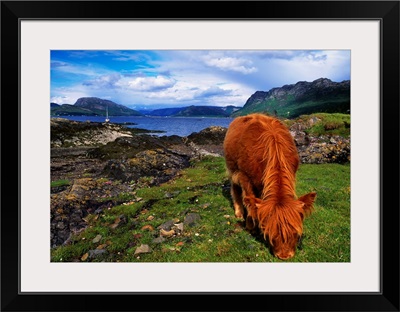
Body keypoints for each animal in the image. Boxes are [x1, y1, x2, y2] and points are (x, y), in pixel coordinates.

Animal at [223, 113, 318, 260]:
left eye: (296, 233)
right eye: (269, 233)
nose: (284, 256)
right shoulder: (244, 177)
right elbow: (249, 199)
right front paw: (250, 225)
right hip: (232, 169)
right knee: (236, 190)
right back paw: (239, 212)